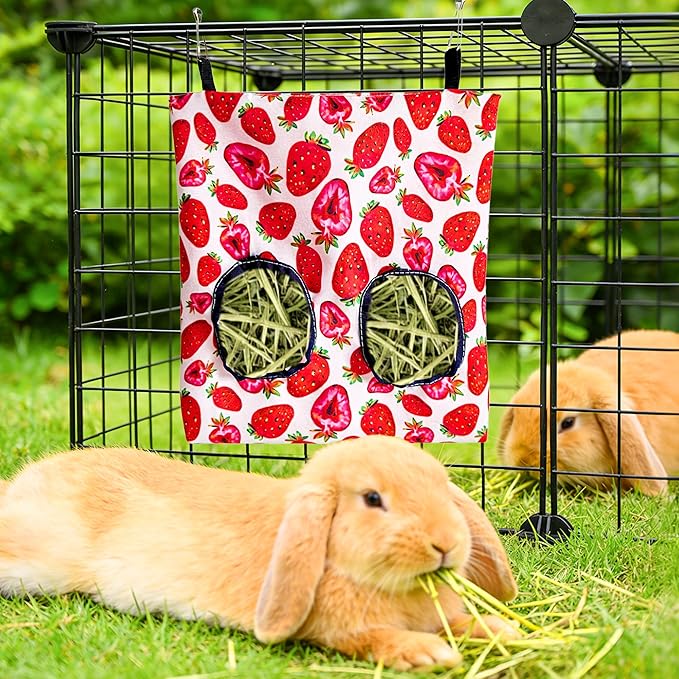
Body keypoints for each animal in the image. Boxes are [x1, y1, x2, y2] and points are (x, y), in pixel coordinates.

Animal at [0, 436, 518, 671]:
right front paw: (428, 654)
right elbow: (376, 639)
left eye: (441, 485)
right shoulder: (337, 629)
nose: (445, 544)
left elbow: (462, 624)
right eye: (373, 499)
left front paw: (502, 631)